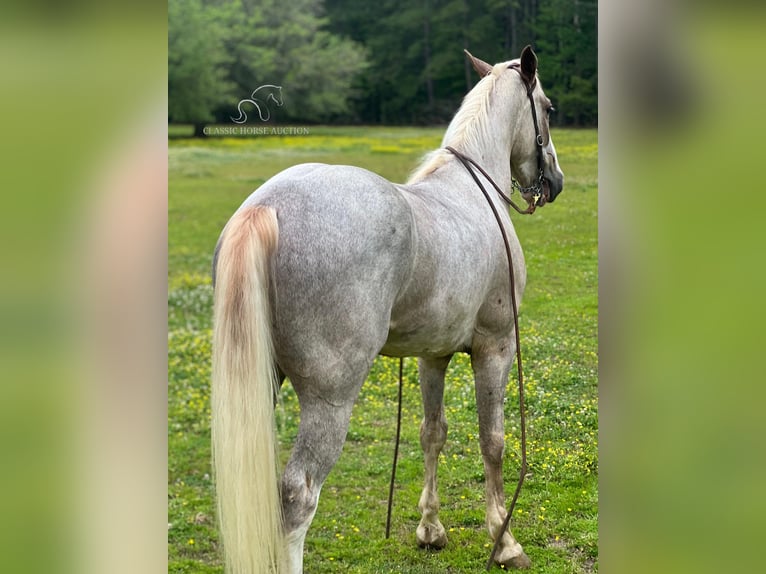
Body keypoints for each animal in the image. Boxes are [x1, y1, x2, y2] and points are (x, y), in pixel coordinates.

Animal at [213, 46, 568, 574]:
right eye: (547, 108)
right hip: (330, 401)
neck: (472, 194)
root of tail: (269, 207)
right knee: (298, 495)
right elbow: (493, 441)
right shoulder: (496, 348)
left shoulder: (432, 356)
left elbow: (432, 433)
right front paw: (504, 541)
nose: (555, 182)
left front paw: (431, 530)